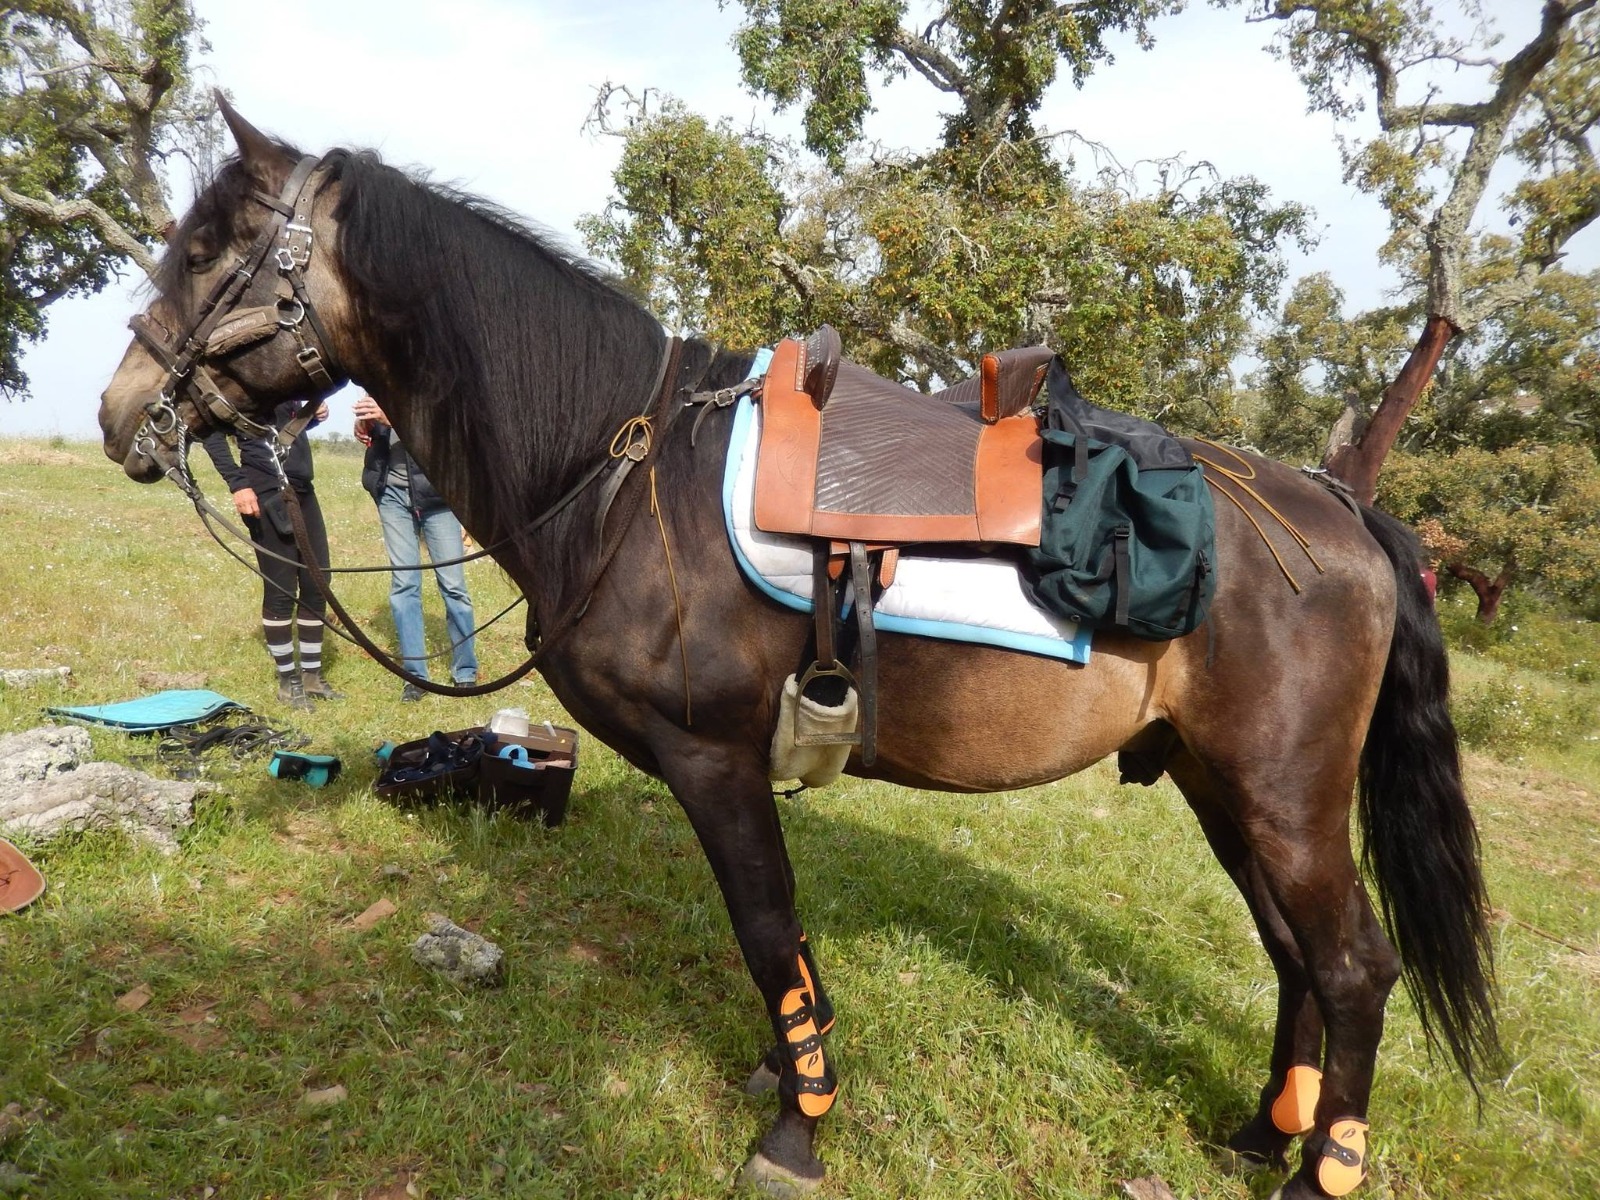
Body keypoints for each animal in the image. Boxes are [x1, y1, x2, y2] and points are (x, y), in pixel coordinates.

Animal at [97, 102, 1496, 1199]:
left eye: (210, 250)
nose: (120, 412)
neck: (622, 472)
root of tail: (1341, 510)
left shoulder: (713, 762)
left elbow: (768, 929)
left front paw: (795, 1127)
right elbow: (787, 952)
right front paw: (793, 1068)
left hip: (1282, 797)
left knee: (1354, 967)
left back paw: (1320, 1171)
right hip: (1228, 789)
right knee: (1295, 959)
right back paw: (1265, 1138)